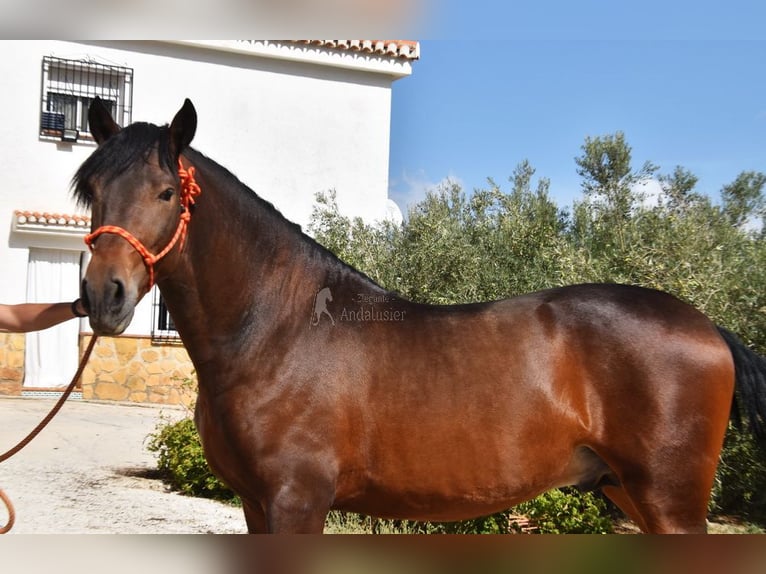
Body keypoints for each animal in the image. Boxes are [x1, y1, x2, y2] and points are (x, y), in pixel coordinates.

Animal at [75, 98, 766, 533]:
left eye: (167, 193)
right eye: (94, 192)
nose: (105, 296)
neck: (276, 334)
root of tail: (707, 327)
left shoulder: (297, 500)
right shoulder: (254, 503)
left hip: (669, 499)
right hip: (627, 489)